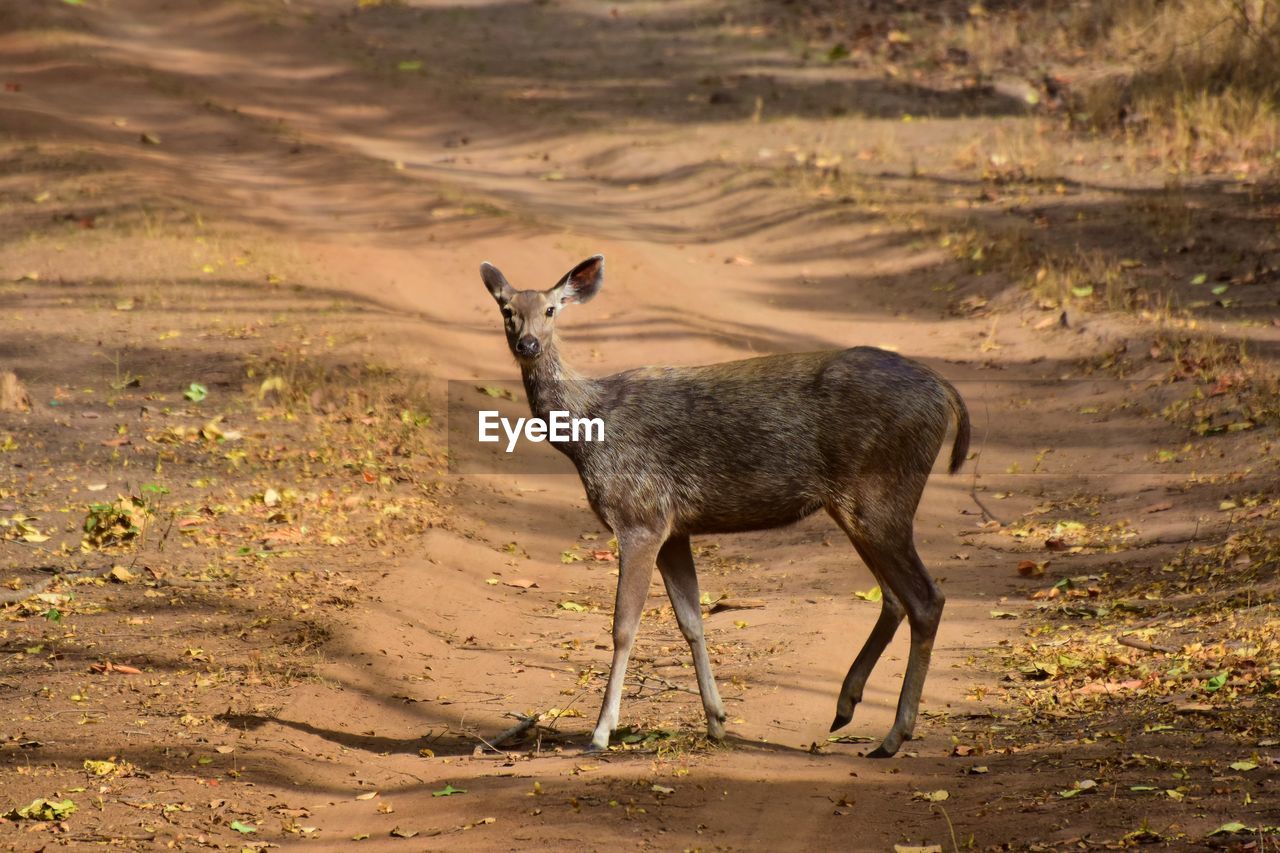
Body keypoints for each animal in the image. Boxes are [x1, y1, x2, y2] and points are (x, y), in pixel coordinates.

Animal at [481, 253, 967, 758]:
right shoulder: (674, 529)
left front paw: (601, 733)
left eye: (552, 309)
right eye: (507, 310)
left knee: (925, 599)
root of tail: (945, 392)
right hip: (860, 507)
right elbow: (691, 621)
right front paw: (716, 721)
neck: (584, 434)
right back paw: (846, 706)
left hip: (880, 493)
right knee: (895, 597)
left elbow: (623, 626)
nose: (528, 343)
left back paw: (893, 735)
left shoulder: (639, 515)